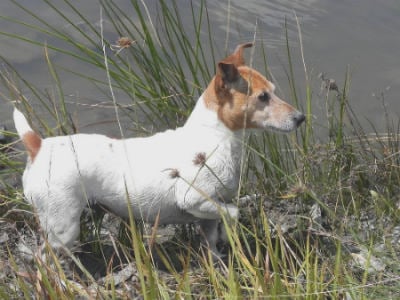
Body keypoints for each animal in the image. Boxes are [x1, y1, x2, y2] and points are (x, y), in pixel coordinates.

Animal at [14, 43, 304, 256]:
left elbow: (212, 240)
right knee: (44, 262)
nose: (300, 118)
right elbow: (232, 212)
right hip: (62, 229)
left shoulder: (209, 215)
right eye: (263, 97)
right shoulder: (194, 199)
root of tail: (38, 146)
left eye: (273, 91)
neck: (216, 137)